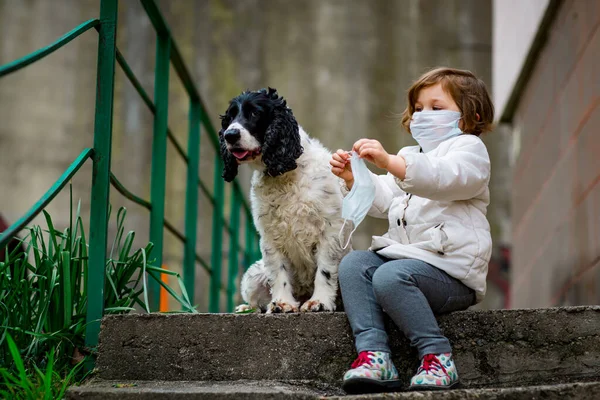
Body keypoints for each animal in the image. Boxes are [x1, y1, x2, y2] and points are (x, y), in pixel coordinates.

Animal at [219, 88, 352, 312]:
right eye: (230, 117)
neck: (285, 175)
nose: (230, 135)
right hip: (254, 276)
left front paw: (319, 302)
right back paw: (247, 308)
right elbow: (278, 273)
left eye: (255, 113)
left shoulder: (330, 229)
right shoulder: (270, 235)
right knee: (256, 299)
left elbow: (324, 271)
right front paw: (282, 303)